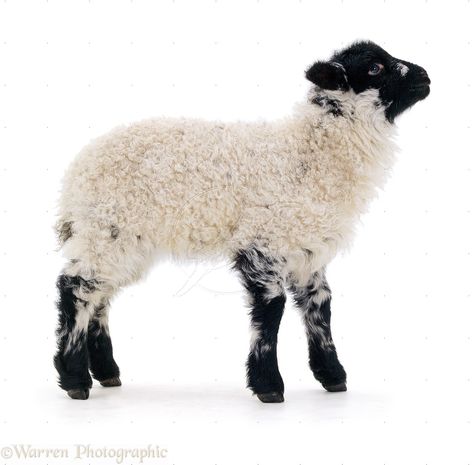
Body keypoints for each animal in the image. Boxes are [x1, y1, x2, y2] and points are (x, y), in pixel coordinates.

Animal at [54, 40, 430, 402]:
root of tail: (74, 175)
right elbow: (271, 312)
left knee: (99, 297)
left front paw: (332, 375)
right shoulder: (263, 242)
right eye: (375, 67)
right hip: (106, 229)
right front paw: (268, 384)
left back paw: (106, 372)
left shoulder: (308, 247)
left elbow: (320, 306)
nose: (425, 76)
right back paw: (74, 378)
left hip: (123, 241)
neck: (311, 153)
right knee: (75, 289)